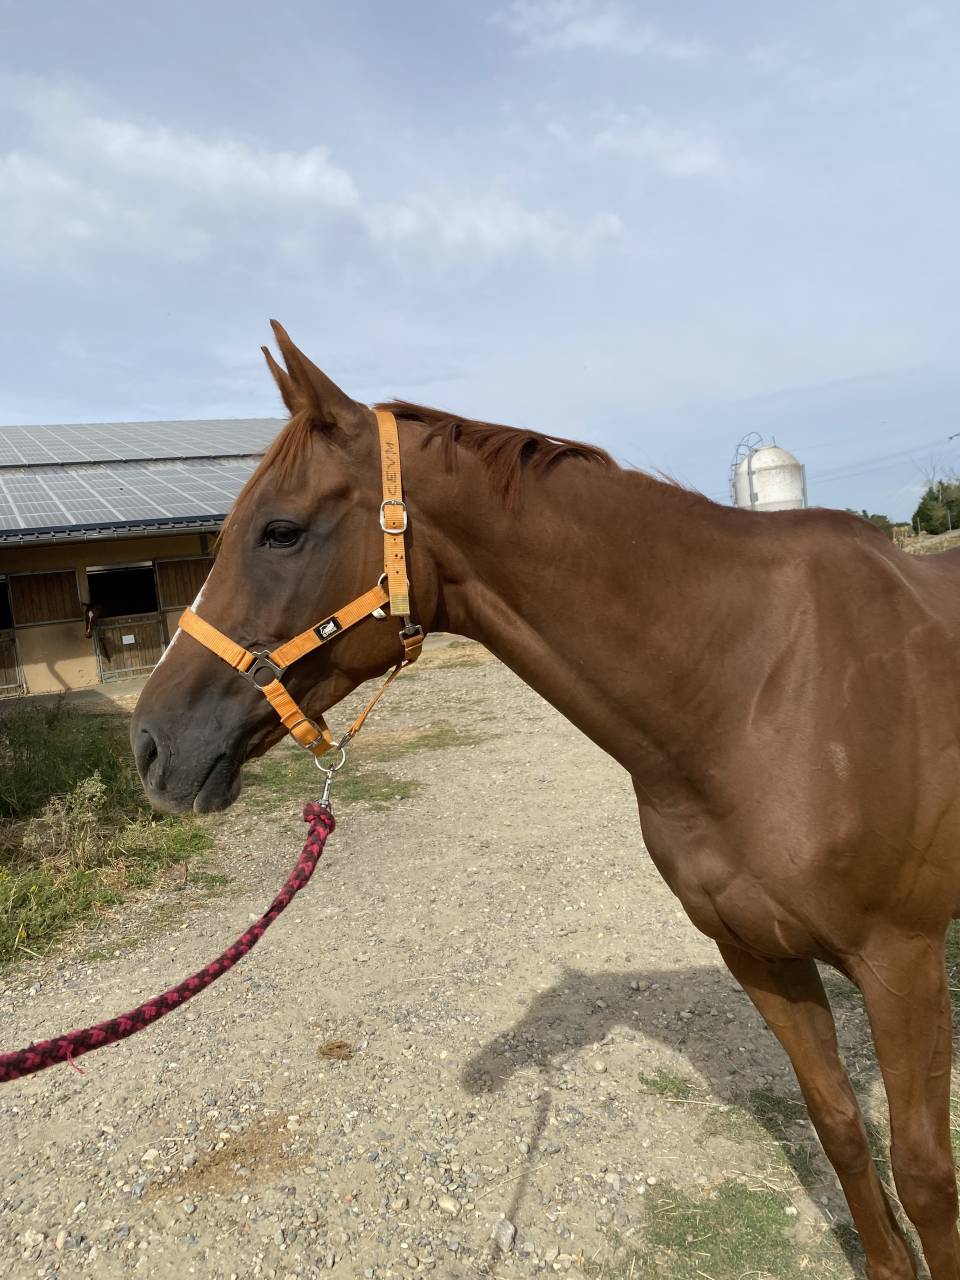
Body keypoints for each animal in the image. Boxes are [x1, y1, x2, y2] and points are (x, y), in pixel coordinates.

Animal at [131, 322, 960, 1280]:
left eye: (280, 531)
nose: (150, 745)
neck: (760, 688)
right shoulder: (760, 955)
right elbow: (840, 1129)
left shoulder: (901, 964)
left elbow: (926, 1176)